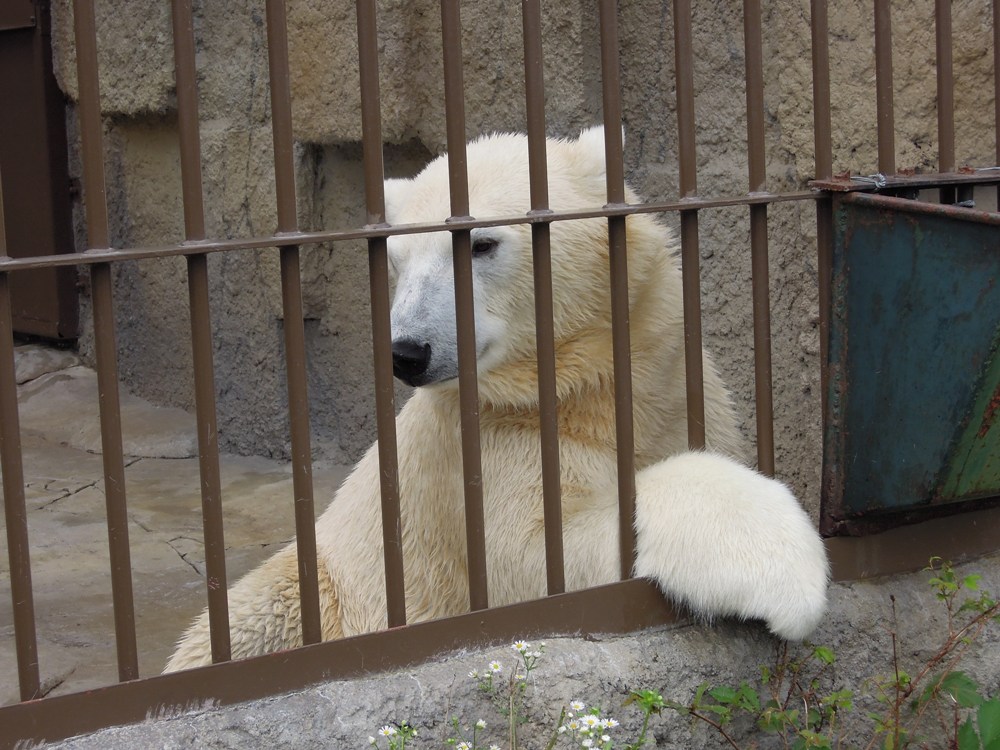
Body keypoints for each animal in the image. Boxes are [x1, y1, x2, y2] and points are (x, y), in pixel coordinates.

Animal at [164, 126, 829, 672]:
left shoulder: (680, 392)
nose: (409, 350)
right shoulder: (481, 449)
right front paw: (781, 565)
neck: (574, 390)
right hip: (315, 590)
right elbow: (542, 555)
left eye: (479, 244)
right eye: (398, 260)